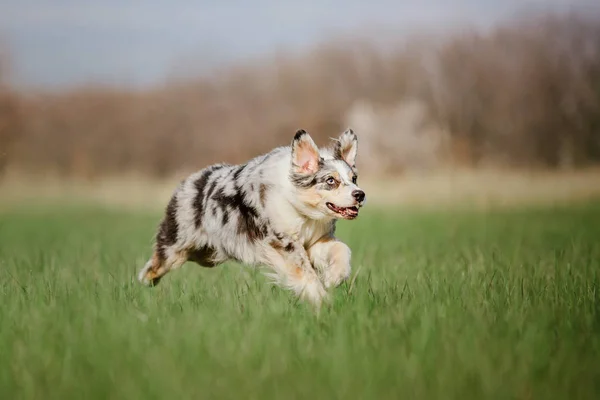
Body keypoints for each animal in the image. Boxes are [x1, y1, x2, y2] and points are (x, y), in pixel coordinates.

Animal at [138, 128, 366, 306]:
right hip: (175, 246)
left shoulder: (316, 240)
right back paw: (142, 285)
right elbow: (305, 273)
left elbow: (342, 250)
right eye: (331, 181)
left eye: (354, 178)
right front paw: (323, 302)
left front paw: (333, 278)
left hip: (207, 255)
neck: (300, 208)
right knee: (155, 265)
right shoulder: (282, 243)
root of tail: (188, 181)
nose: (360, 194)